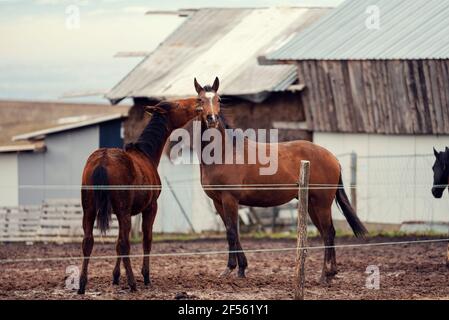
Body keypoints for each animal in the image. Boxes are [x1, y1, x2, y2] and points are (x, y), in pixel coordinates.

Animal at [78, 98, 200, 296]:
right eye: (178, 105)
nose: (197, 102)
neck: (147, 154)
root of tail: (102, 160)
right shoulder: (150, 207)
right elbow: (146, 239)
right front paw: (146, 276)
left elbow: (117, 242)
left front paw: (115, 276)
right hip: (123, 211)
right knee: (125, 244)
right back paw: (133, 282)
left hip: (89, 209)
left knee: (88, 242)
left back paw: (82, 284)